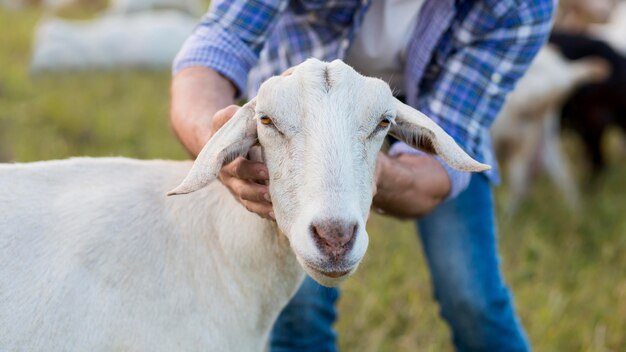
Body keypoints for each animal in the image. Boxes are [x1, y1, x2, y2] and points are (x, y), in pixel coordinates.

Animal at [490, 45, 608, 216]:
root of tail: (565, 73)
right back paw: (577, 215)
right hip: (545, 136)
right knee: (563, 174)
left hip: (522, 137)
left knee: (519, 182)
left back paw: (506, 217)